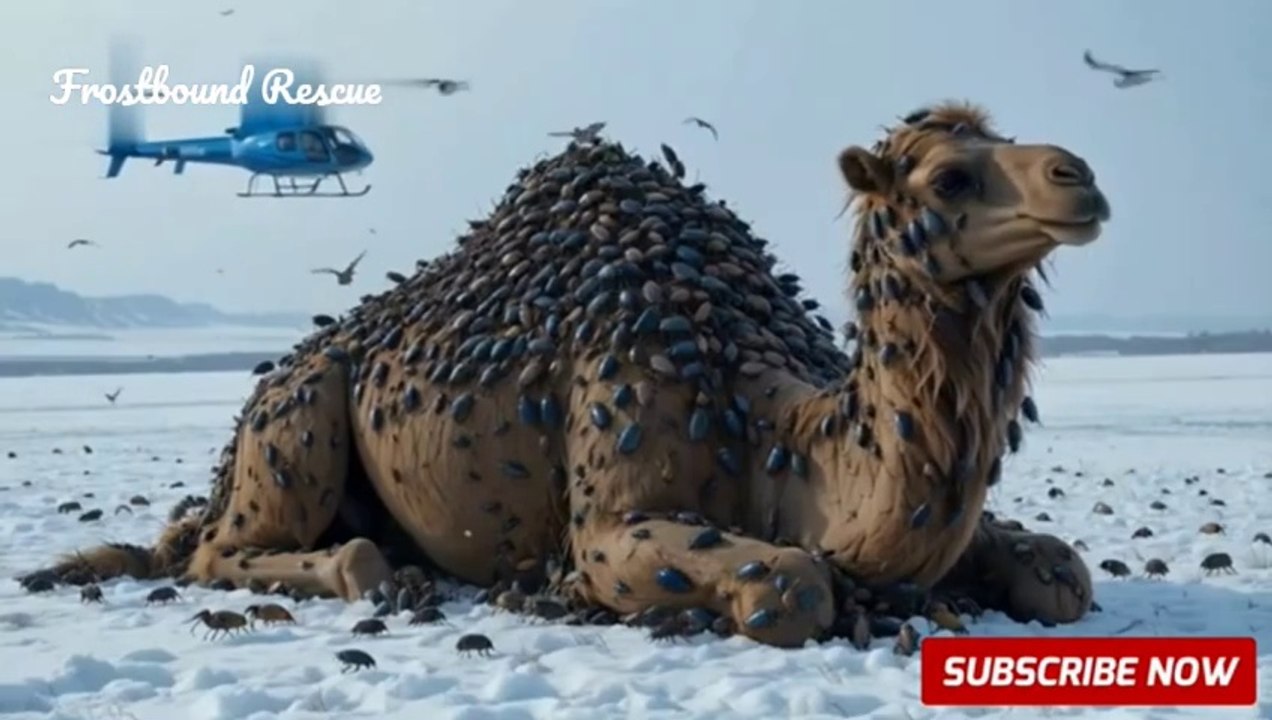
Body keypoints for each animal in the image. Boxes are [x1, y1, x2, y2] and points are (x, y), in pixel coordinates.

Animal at [22, 101, 1107, 648]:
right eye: (949, 176)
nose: (1081, 177)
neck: (769, 422)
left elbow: (1057, 570)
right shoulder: (613, 504)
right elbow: (792, 583)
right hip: (293, 411)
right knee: (222, 549)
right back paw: (374, 571)